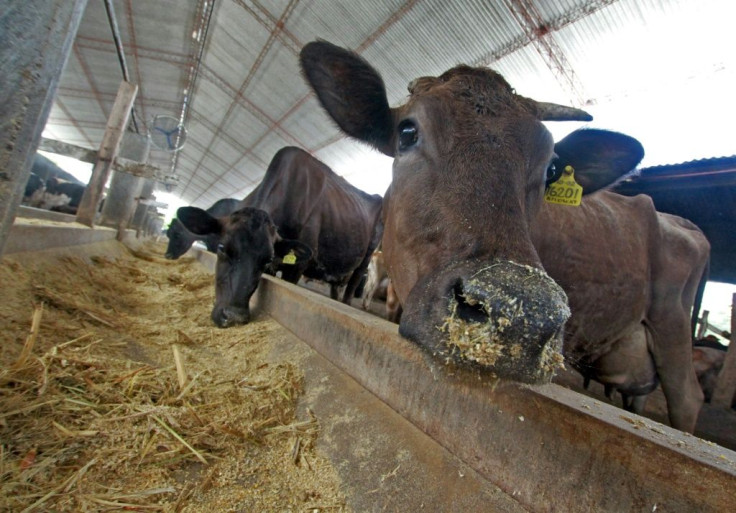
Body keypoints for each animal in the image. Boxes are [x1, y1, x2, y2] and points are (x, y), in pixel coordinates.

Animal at [176, 144, 382, 328]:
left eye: (266, 258)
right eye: (221, 248)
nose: (233, 317)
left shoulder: (299, 265)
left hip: (365, 259)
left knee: (352, 286)